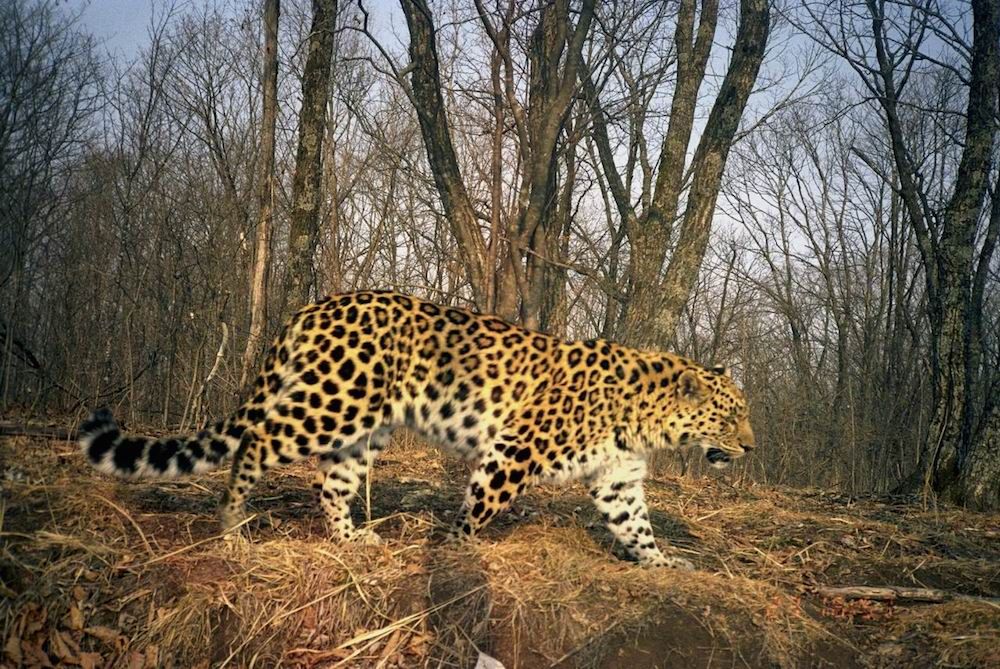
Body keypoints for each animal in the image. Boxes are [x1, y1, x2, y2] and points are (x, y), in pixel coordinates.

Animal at [78, 290, 752, 568]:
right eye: (729, 414)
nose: (749, 445)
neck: (648, 420)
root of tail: (312, 306)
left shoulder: (618, 478)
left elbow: (635, 525)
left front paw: (665, 565)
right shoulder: (514, 449)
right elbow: (479, 506)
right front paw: (453, 551)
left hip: (361, 429)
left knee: (330, 484)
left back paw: (352, 540)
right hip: (332, 405)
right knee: (256, 442)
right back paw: (232, 529)